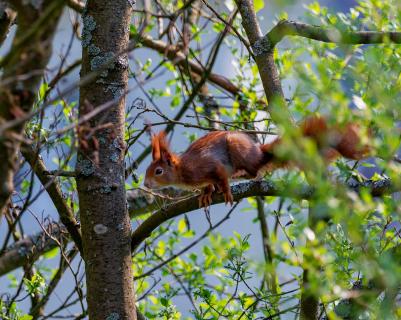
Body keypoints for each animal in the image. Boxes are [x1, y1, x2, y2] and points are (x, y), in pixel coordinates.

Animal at [144, 116, 368, 209]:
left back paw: (242, 175)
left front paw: (225, 191)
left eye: (158, 171)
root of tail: (258, 152)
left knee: (254, 171)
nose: (145, 184)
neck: (183, 171)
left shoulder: (208, 165)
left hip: (238, 151)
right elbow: (209, 184)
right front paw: (206, 193)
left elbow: (220, 176)